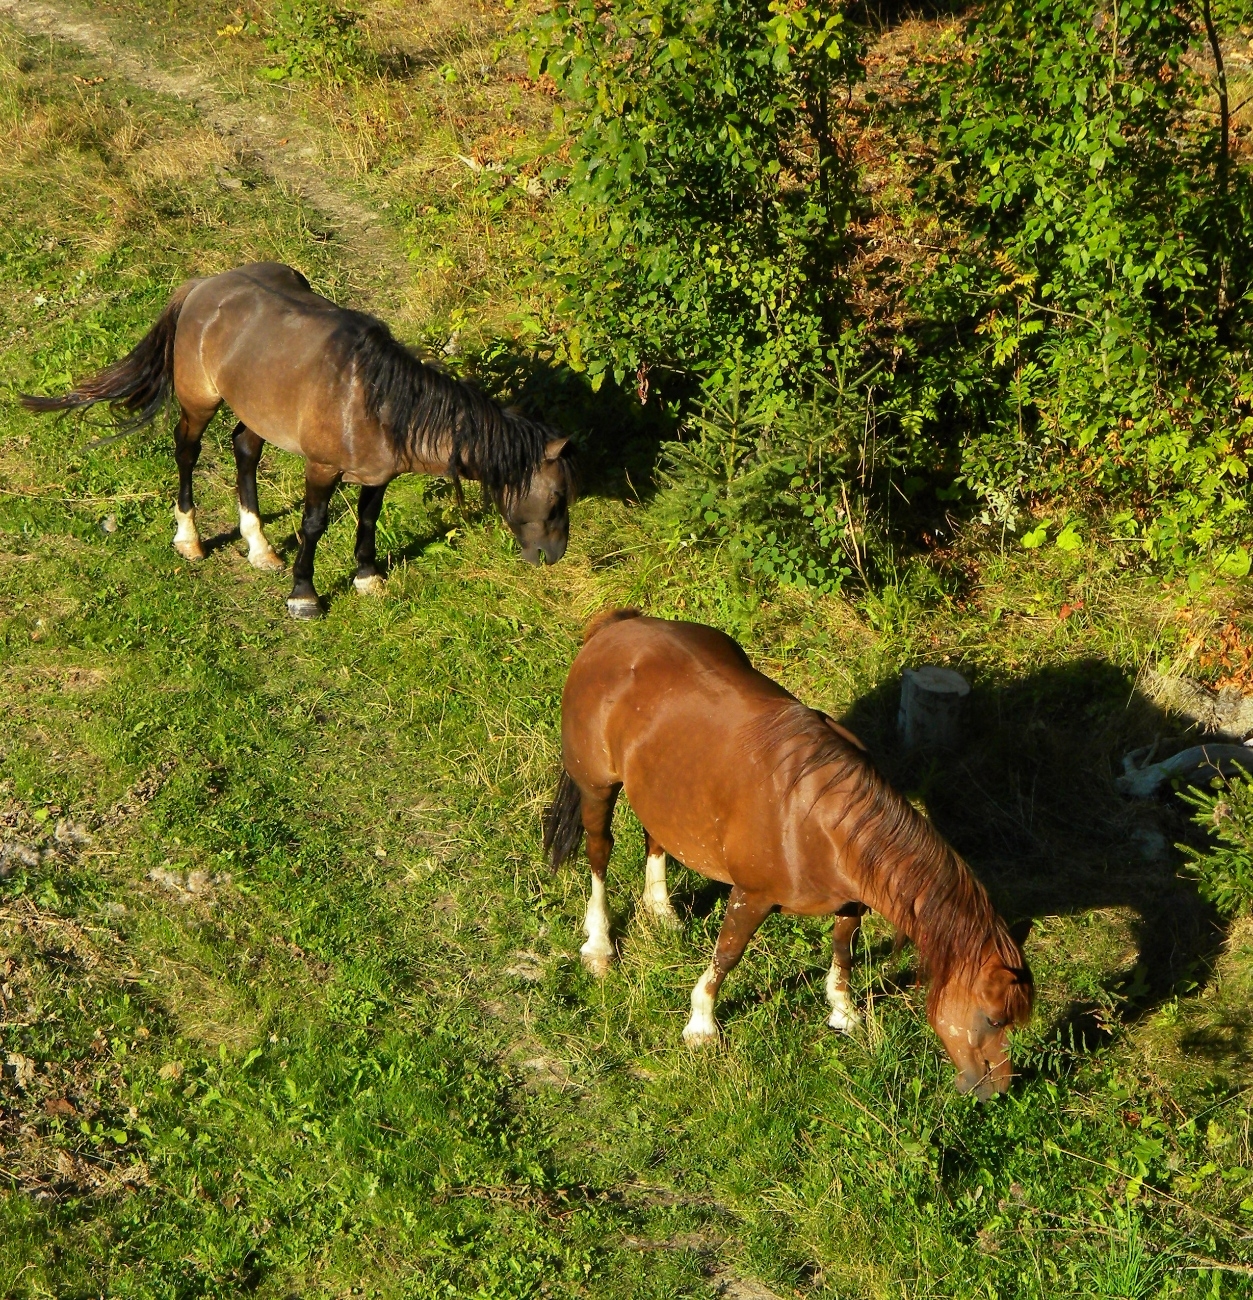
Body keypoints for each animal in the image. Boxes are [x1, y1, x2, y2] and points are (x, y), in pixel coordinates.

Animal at [24, 261, 574, 616]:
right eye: (556, 498)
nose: (553, 556)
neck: (375, 400)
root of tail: (203, 286)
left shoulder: (377, 475)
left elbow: (368, 521)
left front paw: (367, 577)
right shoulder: (322, 469)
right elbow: (313, 525)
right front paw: (303, 594)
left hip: (257, 411)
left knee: (244, 449)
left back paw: (260, 546)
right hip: (200, 404)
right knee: (187, 452)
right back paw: (190, 539)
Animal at [543, 608, 1034, 1097]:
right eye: (993, 1019)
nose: (998, 1088)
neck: (819, 822)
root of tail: (619, 625)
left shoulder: (850, 899)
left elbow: (843, 948)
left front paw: (844, 1013)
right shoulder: (752, 896)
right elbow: (727, 954)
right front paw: (701, 1026)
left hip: (661, 786)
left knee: (655, 836)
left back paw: (661, 909)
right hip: (596, 787)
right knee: (599, 854)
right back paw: (599, 945)